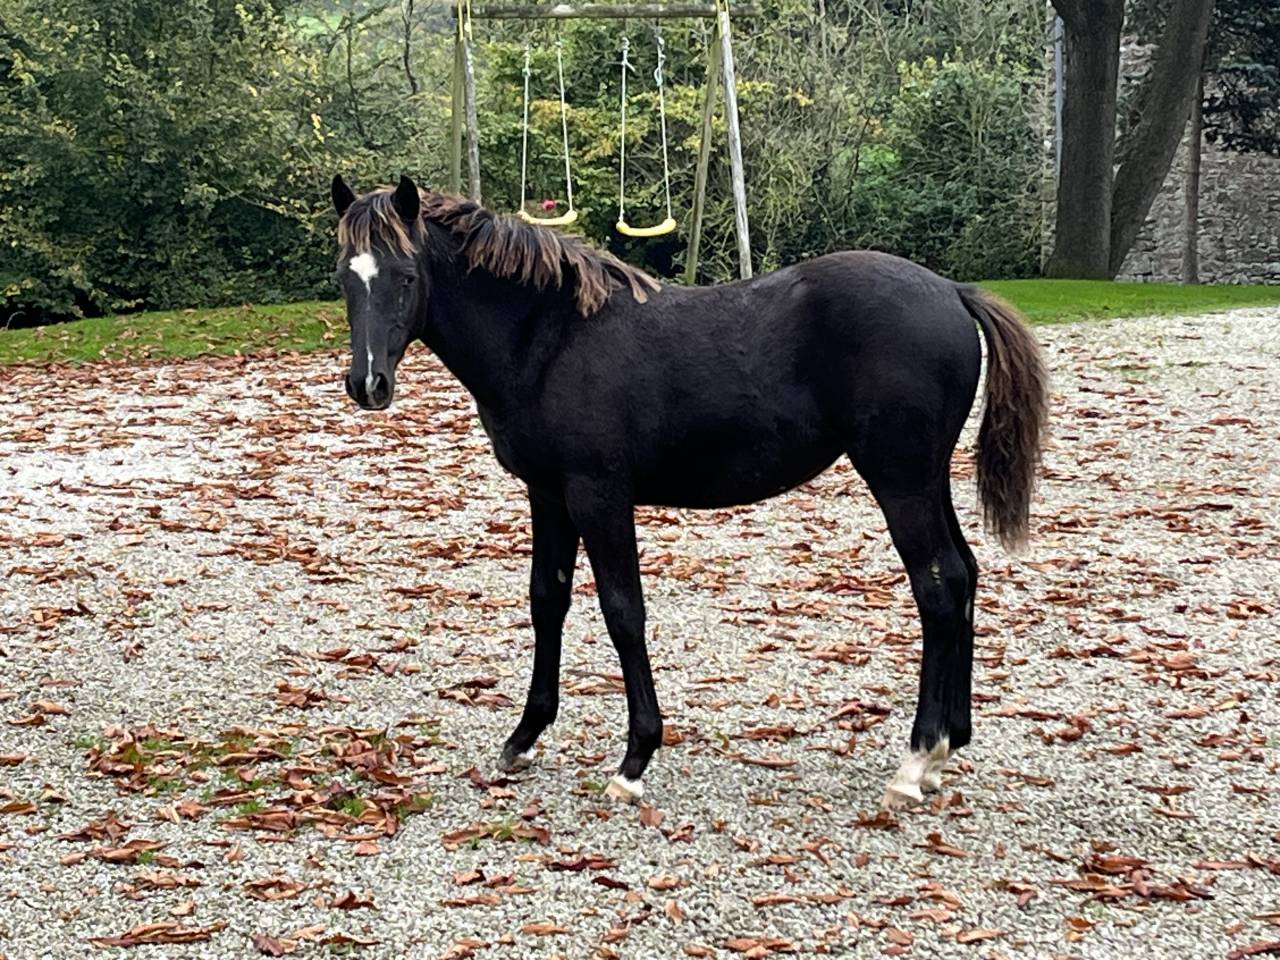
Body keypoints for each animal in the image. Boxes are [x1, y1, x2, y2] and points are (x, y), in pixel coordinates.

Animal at [330, 174, 1048, 808]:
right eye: (344, 277)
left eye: (406, 276)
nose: (368, 385)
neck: (549, 338)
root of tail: (952, 291)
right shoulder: (548, 495)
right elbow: (547, 601)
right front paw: (525, 737)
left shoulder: (599, 496)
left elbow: (623, 612)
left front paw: (635, 760)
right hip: (927, 480)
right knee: (965, 575)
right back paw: (949, 746)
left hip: (901, 480)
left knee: (938, 587)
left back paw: (915, 761)